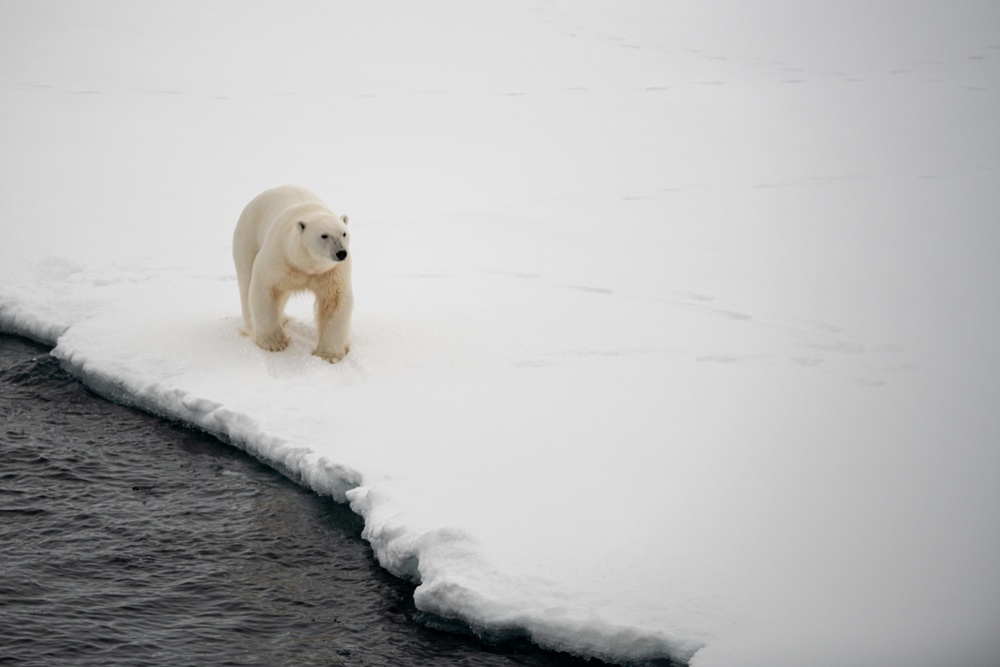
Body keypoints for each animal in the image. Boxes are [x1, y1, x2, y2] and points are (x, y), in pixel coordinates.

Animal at [232, 187, 354, 366]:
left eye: (344, 233)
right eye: (324, 235)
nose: (341, 252)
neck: (306, 266)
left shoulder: (330, 272)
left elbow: (335, 300)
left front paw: (329, 355)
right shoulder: (279, 257)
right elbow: (264, 287)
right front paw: (274, 343)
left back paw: (283, 318)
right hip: (248, 236)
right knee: (246, 281)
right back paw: (251, 327)